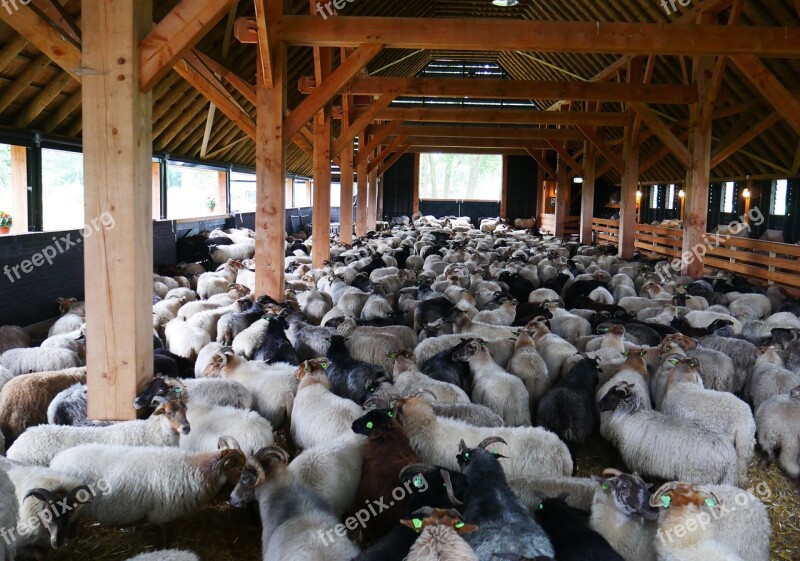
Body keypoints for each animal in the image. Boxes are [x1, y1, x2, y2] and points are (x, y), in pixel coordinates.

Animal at [596, 382, 736, 484]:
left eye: (613, 396)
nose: (599, 405)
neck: (631, 416)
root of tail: (728, 455)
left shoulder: (637, 463)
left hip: (700, 478)